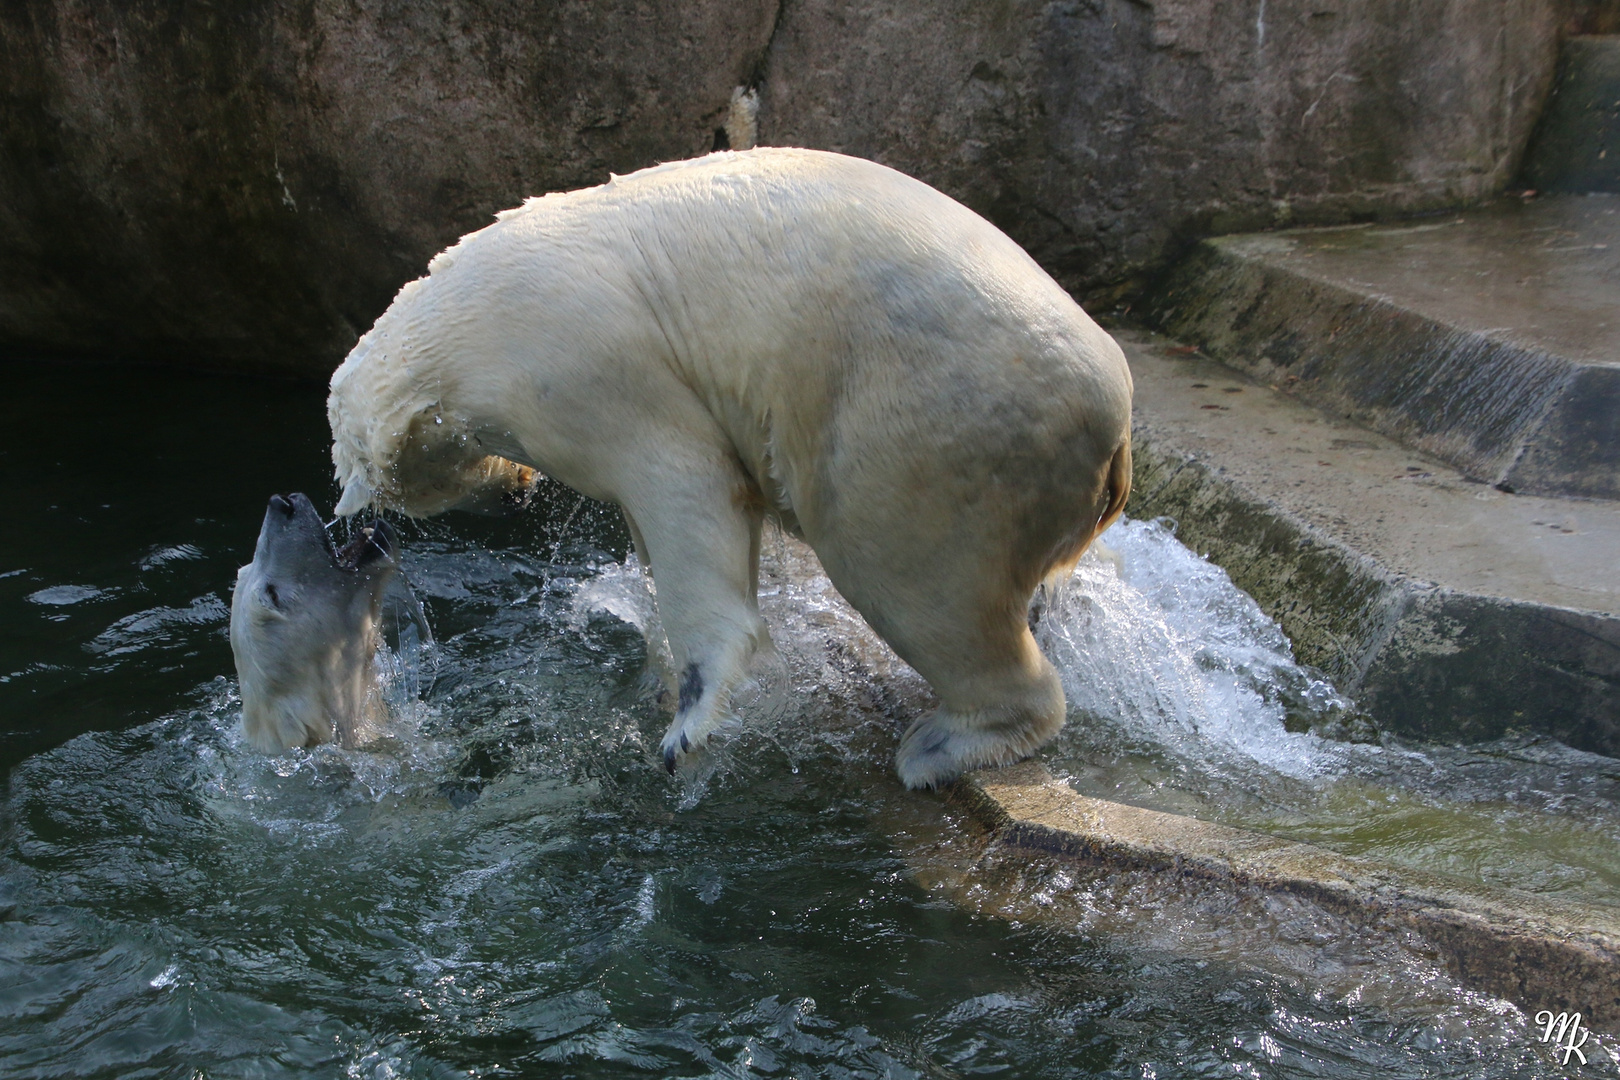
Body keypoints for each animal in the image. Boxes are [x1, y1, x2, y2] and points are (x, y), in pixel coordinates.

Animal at [324, 145, 1134, 786]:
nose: (518, 496)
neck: (460, 323)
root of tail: (1116, 414)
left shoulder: (586, 363)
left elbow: (686, 487)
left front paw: (688, 726)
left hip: (933, 419)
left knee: (912, 572)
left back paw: (938, 745)